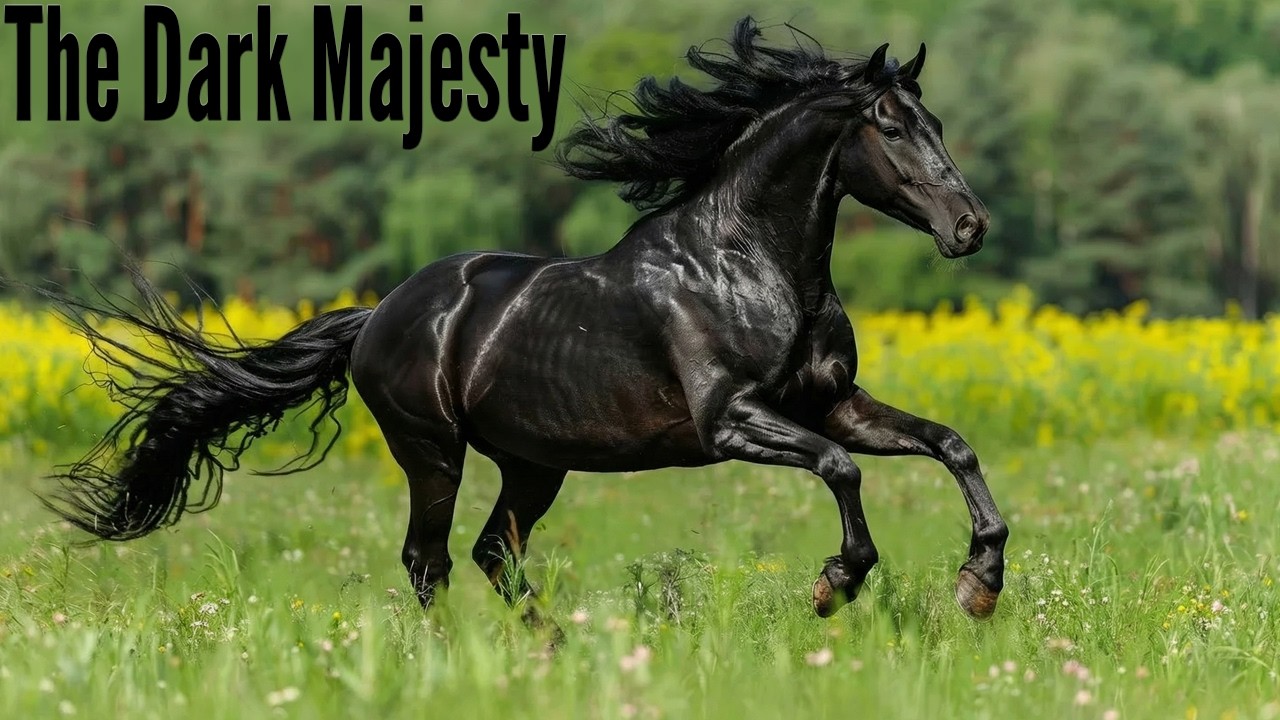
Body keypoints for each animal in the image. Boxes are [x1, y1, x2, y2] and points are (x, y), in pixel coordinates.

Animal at [40, 17, 1008, 625]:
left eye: (934, 119)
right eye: (890, 125)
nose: (970, 227)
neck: (747, 267)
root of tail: (382, 313)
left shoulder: (832, 403)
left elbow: (951, 445)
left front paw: (980, 583)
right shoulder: (731, 421)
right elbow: (843, 470)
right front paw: (835, 584)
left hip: (535, 464)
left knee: (490, 557)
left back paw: (555, 647)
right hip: (433, 450)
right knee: (428, 561)